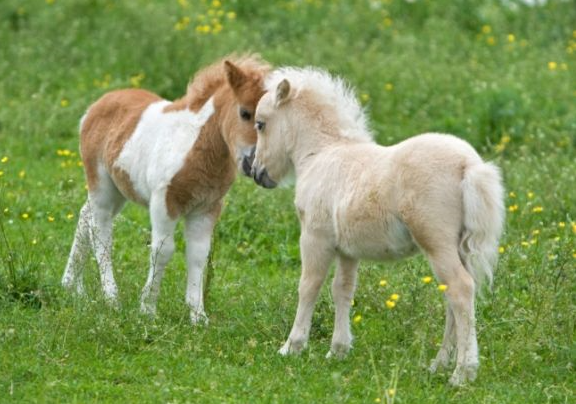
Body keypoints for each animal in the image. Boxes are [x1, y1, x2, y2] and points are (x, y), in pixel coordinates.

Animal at [63, 55, 270, 324]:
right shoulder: (164, 202)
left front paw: (198, 316)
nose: (253, 164)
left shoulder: (207, 208)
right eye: (244, 113)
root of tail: (95, 107)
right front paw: (147, 309)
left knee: (84, 216)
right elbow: (163, 251)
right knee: (101, 232)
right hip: (101, 185)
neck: (197, 145)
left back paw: (72, 286)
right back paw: (111, 298)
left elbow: (198, 255)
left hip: (119, 190)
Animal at [252, 67, 504, 386]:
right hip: (457, 247)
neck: (322, 154)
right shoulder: (347, 249)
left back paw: (462, 372)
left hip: (436, 242)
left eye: (260, 124)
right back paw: (438, 365)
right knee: (454, 296)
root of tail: (469, 165)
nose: (256, 172)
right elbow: (342, 289)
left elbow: (309, 286)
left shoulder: (314, 237)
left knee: (461, 289)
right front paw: (338, 350)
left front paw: (292, 346)